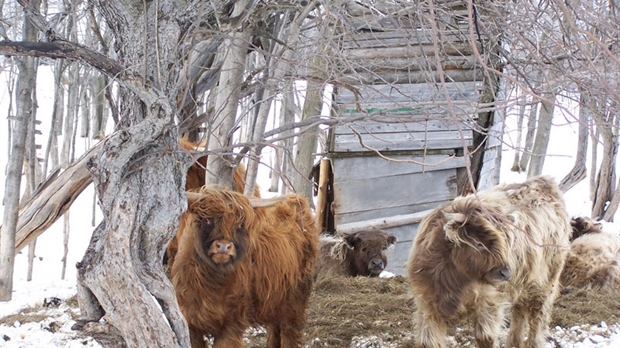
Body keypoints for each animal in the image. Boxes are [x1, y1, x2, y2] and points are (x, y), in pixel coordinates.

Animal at [171, 188, 320, 348]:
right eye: (206, 220)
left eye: (240, 225)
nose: (223, 246)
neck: (209, 282)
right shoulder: (190, 322)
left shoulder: (232, 322)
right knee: (274, 328)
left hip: (294, 299)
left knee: (289, 331)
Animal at [406, 177, 572, 348]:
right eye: (479, 244)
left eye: (505, 240)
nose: (506, 273)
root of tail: (545, 181)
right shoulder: (427, 305)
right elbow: (427, 342)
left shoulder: (489, 302)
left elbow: (485, 338)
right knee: (519, 310)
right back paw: (514, 342)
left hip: (545, 281)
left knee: (538, 313)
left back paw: (533, 342)